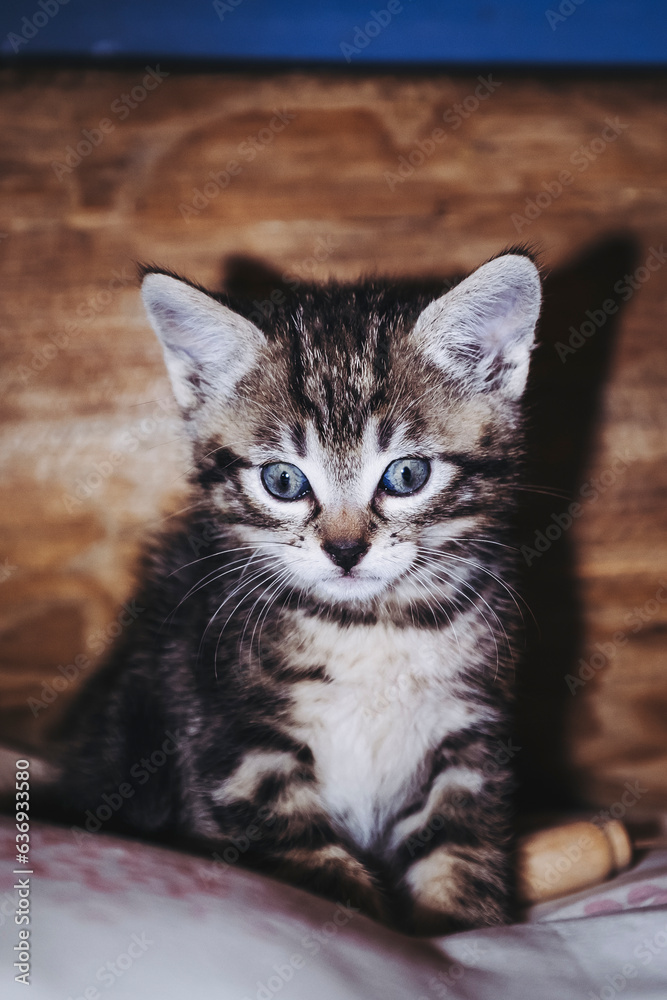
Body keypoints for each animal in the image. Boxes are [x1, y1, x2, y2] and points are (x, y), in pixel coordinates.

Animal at [61, 252, 544, 936]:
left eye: (407, 474)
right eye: (283, 481)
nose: (344, 551)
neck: (370, 625)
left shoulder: (470, 733)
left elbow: (460, 850)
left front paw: (460, 933)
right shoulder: (234, 742)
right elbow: (316, 870)